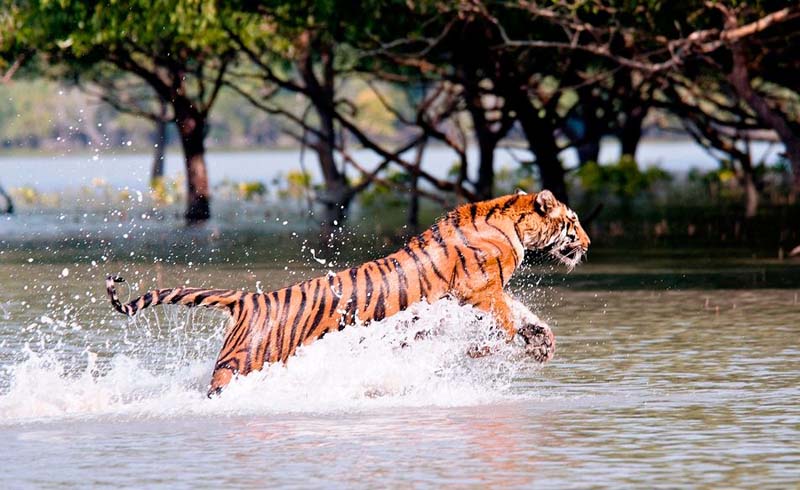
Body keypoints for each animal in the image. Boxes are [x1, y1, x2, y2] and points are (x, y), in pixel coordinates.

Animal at [108, 189, 588, 396]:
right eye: (573, 221)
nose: (585, 243)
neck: (512, 221)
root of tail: (249, 299)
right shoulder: (478, 290)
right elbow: (504, 321)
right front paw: (502, 345)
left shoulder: (487, 292)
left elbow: (522, 313)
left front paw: (541, 342)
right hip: (243, 362)